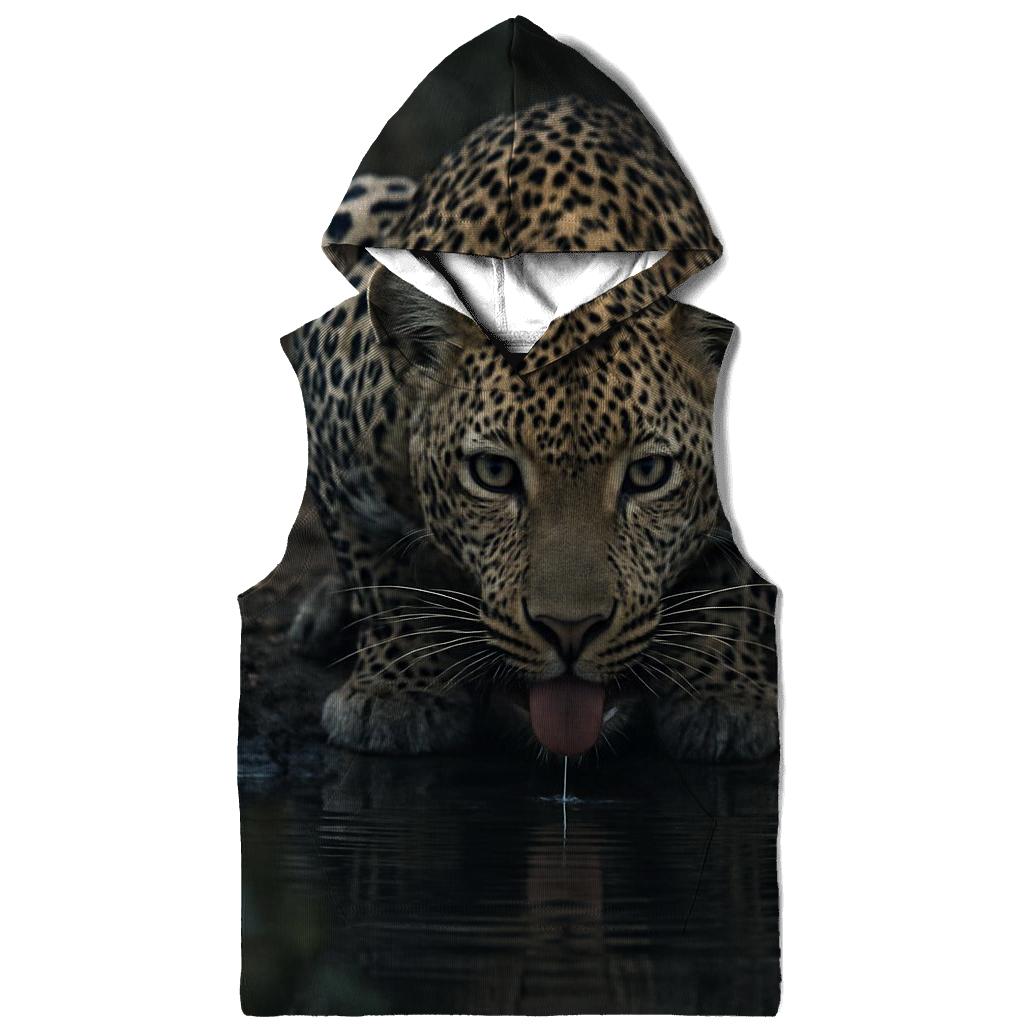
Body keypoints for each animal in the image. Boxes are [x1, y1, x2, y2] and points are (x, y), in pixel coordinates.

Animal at [282, 96, 778, 762]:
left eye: (648, 473)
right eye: (493, 473)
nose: (570, 631)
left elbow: (737, 580)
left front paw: (726, 695)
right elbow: (377, 575)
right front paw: (398, 694)